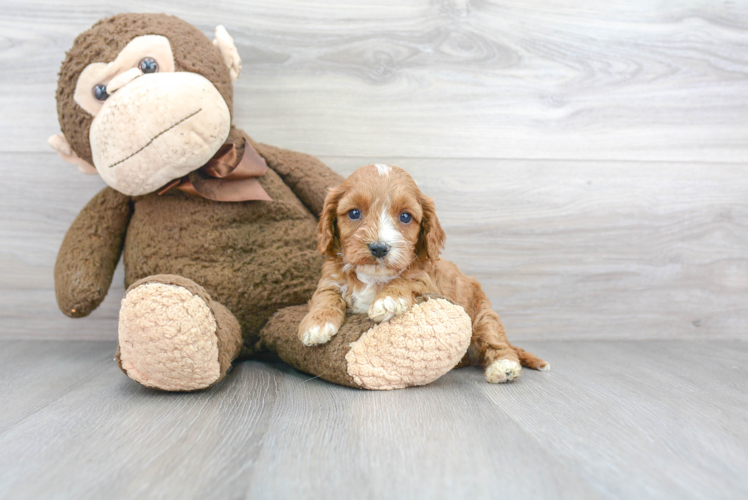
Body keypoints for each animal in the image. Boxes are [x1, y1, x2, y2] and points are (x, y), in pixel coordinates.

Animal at [298, 164, 548, 382]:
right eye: (354, 213)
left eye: (405, 216)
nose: (379, 248)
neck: (374, 275)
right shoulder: (331, 277)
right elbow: (325, 295)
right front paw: (316, 325)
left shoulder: (427, 280)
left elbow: (407, 279)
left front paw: (388, 299)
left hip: (482, 316)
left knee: (496, 341)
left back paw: (504, 367)